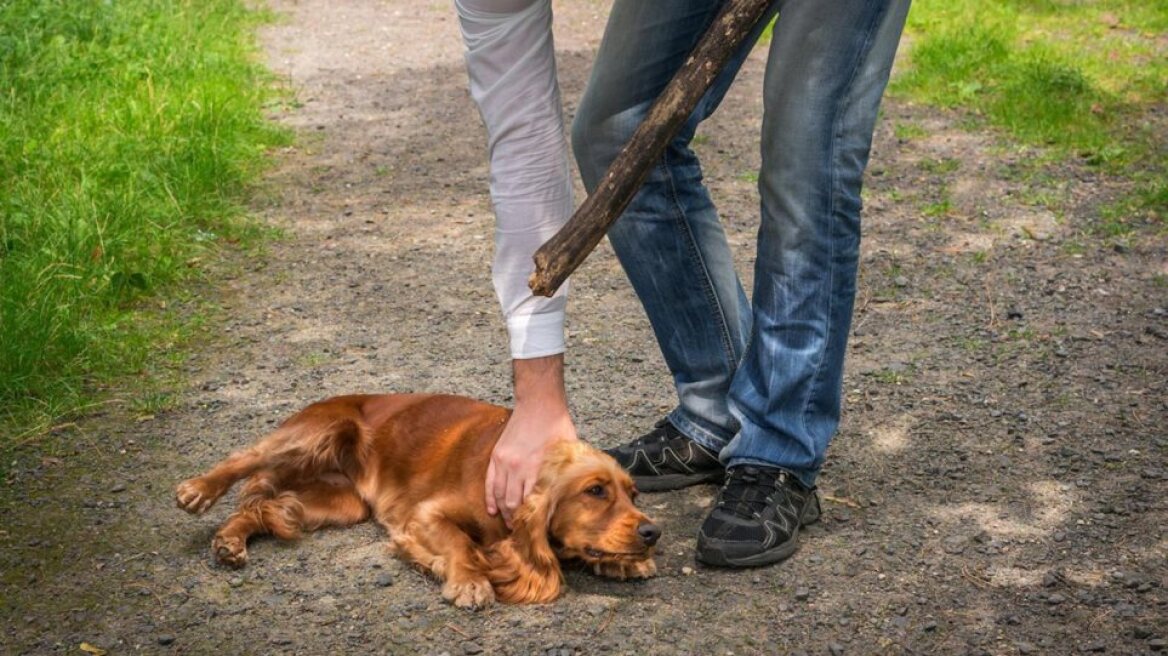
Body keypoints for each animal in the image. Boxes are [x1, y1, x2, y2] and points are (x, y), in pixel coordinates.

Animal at [177, 389, 663, 606]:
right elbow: (461, 543)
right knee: (244, 458)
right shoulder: (425, 515)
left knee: (266, 507)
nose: (653, 533)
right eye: (595, 491)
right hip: (319, 428)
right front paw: (469, 580)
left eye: (632, 493)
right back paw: (197, 490)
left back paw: (229, 541)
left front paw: (624, 562)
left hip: (339, 502)